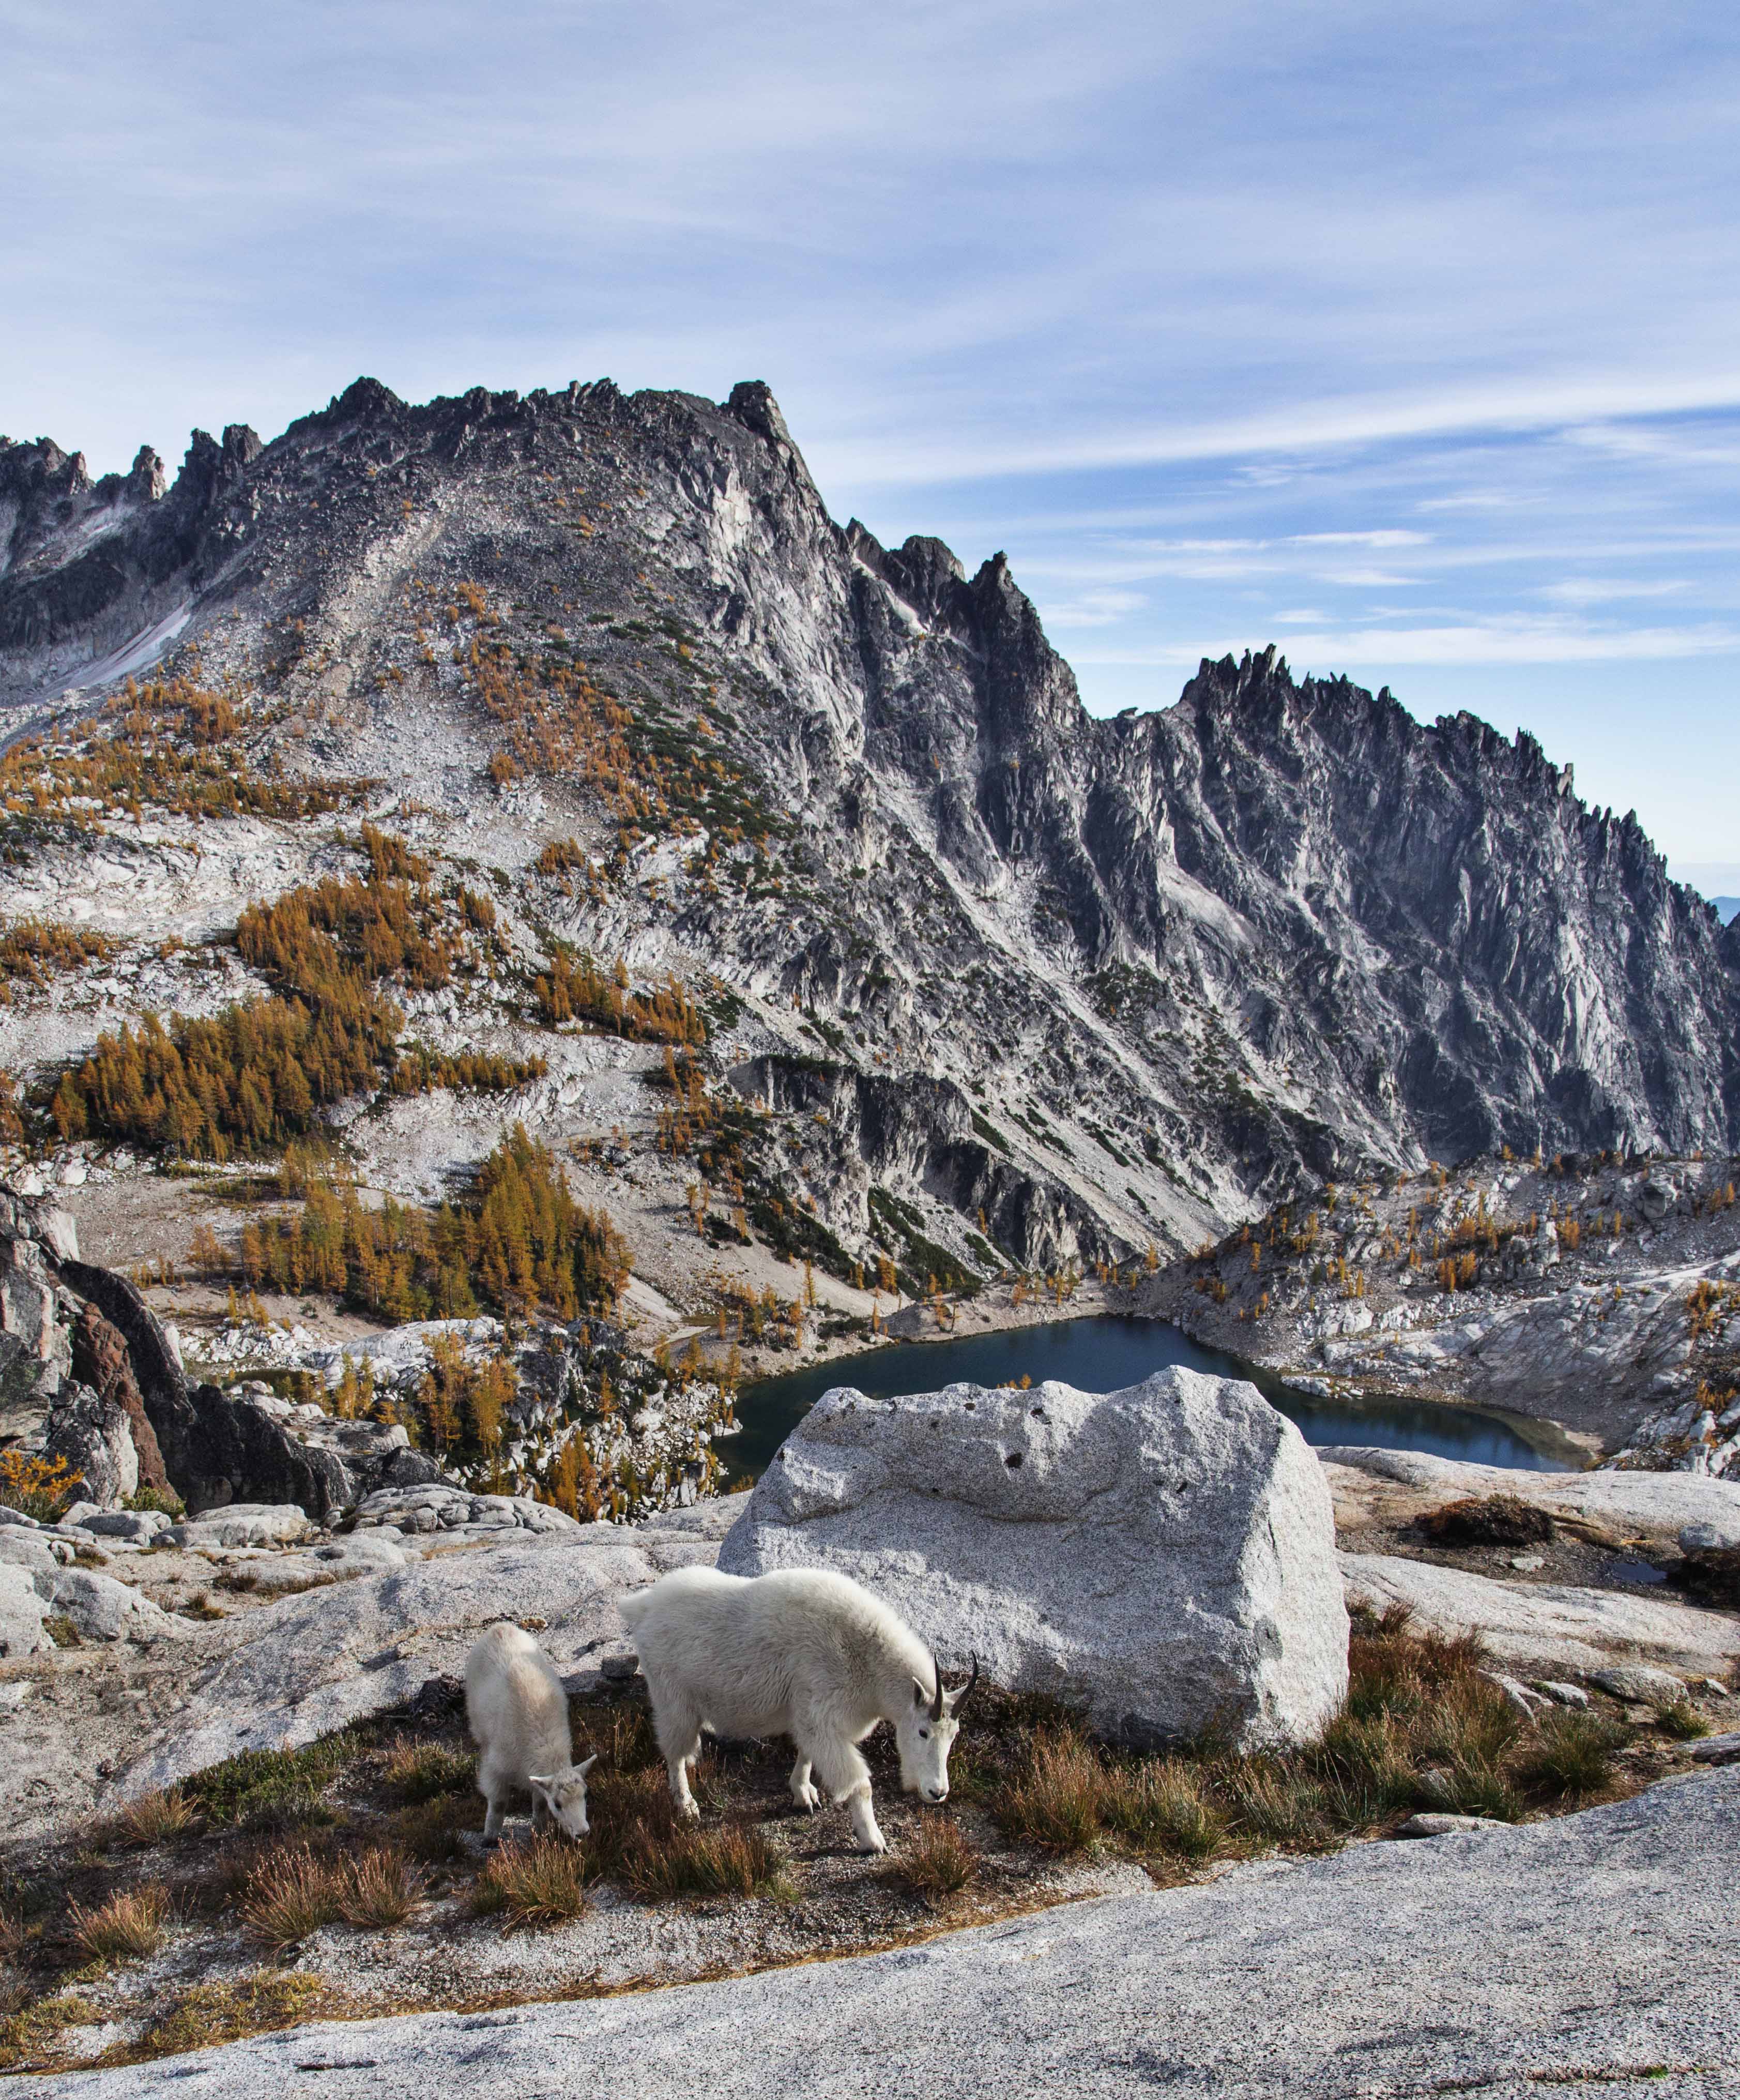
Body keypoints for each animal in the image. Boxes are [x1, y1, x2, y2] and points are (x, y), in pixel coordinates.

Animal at [463, 1621, 596, 1841]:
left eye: (586, 1795)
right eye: (558, 1804)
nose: (583, 1833)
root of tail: (499, 1628)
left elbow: (540, 1803)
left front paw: (541, 1831)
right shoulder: (495, 1768)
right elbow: (498, 1803)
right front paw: (490, 1837)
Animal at [617, 1565, 977, 1853]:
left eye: (954, 1735)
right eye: (923, 1732)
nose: (937, 1792)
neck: (865, 1658)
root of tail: (641, 1607)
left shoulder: (807, 1712)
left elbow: (806, 1753)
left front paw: (804, 1795)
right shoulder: (823, 1716)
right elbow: (860, 1784)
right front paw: (873, 1840)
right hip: (672, 1699)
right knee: (674, 1754)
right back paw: (687, 1806)